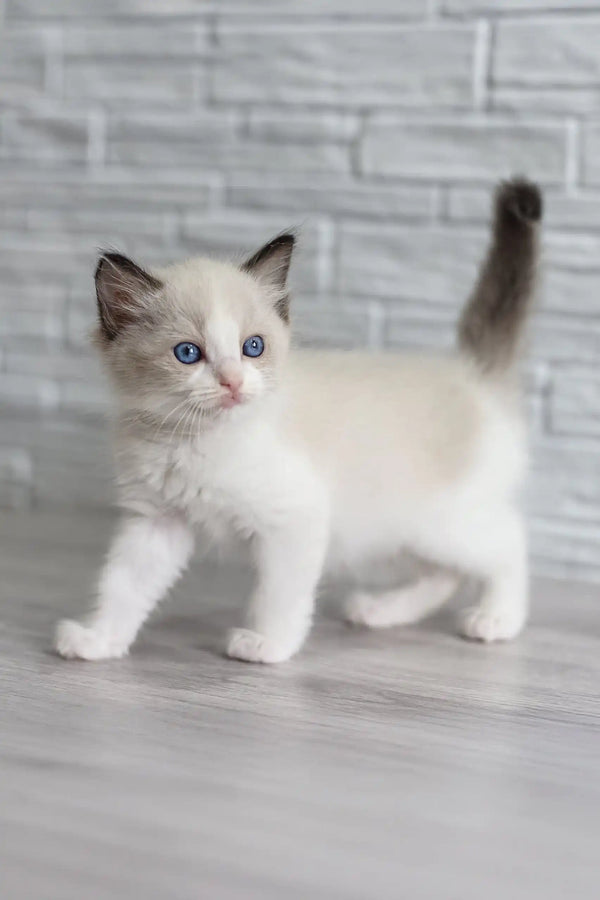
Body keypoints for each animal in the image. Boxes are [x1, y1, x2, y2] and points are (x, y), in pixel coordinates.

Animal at [55, 179, 544, 664]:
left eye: (253, 347)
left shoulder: (293, 520)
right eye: (188, 353)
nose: (233, 382)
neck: (196, 441)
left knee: (509, 543)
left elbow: (278, 595)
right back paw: (382, 610)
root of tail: (472, 373)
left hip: (440, 521)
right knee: (446, 573)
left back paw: (496, 619)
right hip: (403, 531)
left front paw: (266, 646)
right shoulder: (157, 522)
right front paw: (98, 640)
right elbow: (123, 587)